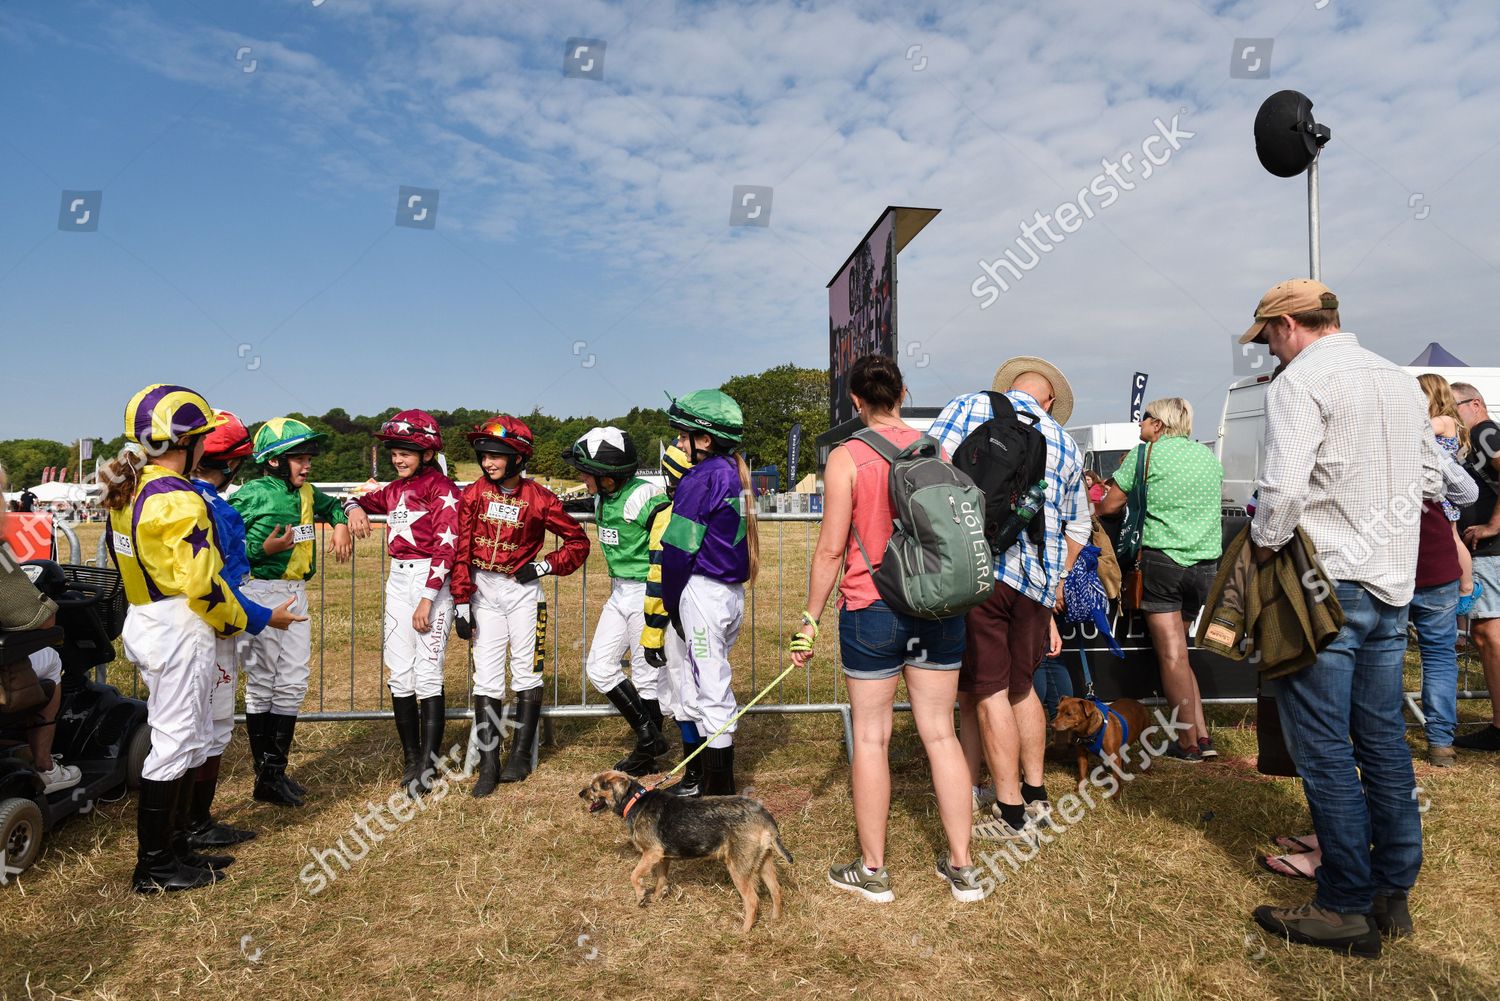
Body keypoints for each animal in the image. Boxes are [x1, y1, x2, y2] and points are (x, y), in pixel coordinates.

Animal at [579, 774, 798, 936]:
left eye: (594, 788)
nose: (580, 793)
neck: (635, 801)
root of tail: (764, 816)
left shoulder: (651, 853)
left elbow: (634, 875)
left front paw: (641, 895)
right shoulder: (662, 858)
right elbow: (661, 879)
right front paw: (657, 898)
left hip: (738, 869)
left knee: (752, 901)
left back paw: (743, 931)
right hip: (764, 863)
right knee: (776, 890)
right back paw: (775, 919)